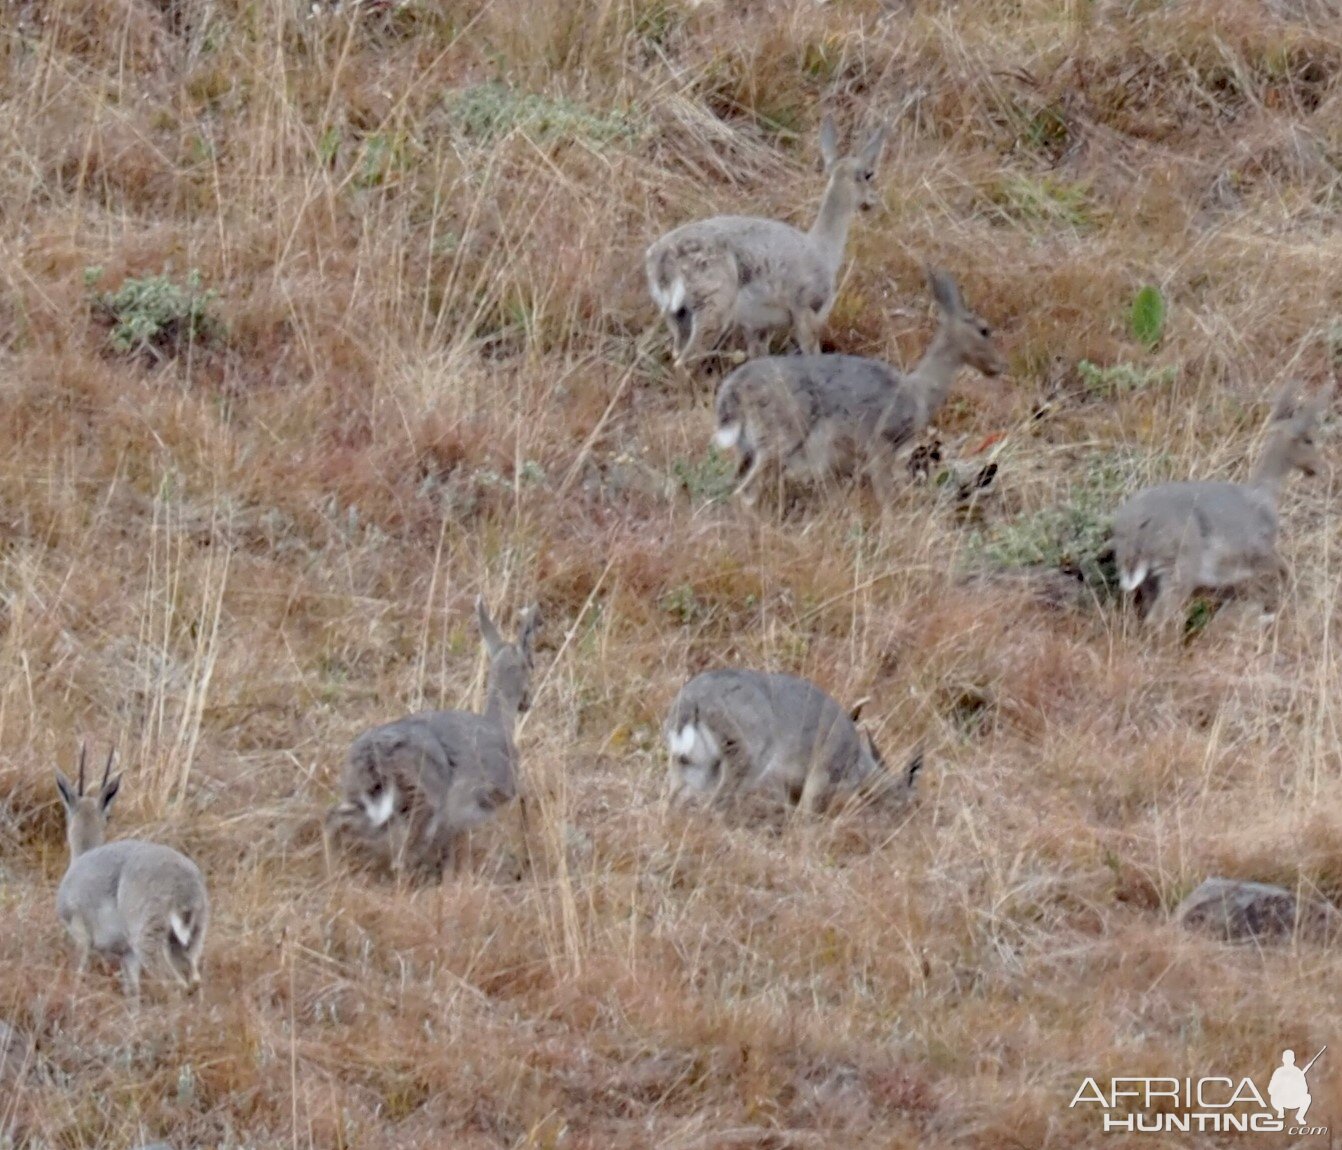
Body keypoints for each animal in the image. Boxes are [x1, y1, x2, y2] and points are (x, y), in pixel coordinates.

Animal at [54, 746, 209, 998]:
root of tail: (185, 886)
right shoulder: (128, 954)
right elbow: (133, 991)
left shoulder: (82, 939)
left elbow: (79, 974)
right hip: (189, 942)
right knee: (194, 981)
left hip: (148, 941)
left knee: (174, 983)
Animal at [327, 595, 542, 874]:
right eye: (531, 665)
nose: (528, 702)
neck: (498, 722)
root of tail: (374, 757)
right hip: (422, 803)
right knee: (400, 854)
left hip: (367, 798)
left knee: (334, 818)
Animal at [644, 112, 885, 367]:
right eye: (869, 174)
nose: (873, 201)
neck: (823, 248)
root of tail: (661, 259)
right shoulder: (806, 309)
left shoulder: (758, 327)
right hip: (713, 307)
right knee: (686, 360)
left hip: (677, 315)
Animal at [1111, 381, 1331, 633]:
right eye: (1309, 439)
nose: (1320, 469)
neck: (1264, 496)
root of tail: (1135, 529)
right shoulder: (1260, 551)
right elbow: (1284, 573)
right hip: (1180, 567)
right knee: (1158, 619)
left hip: (1152, 577)